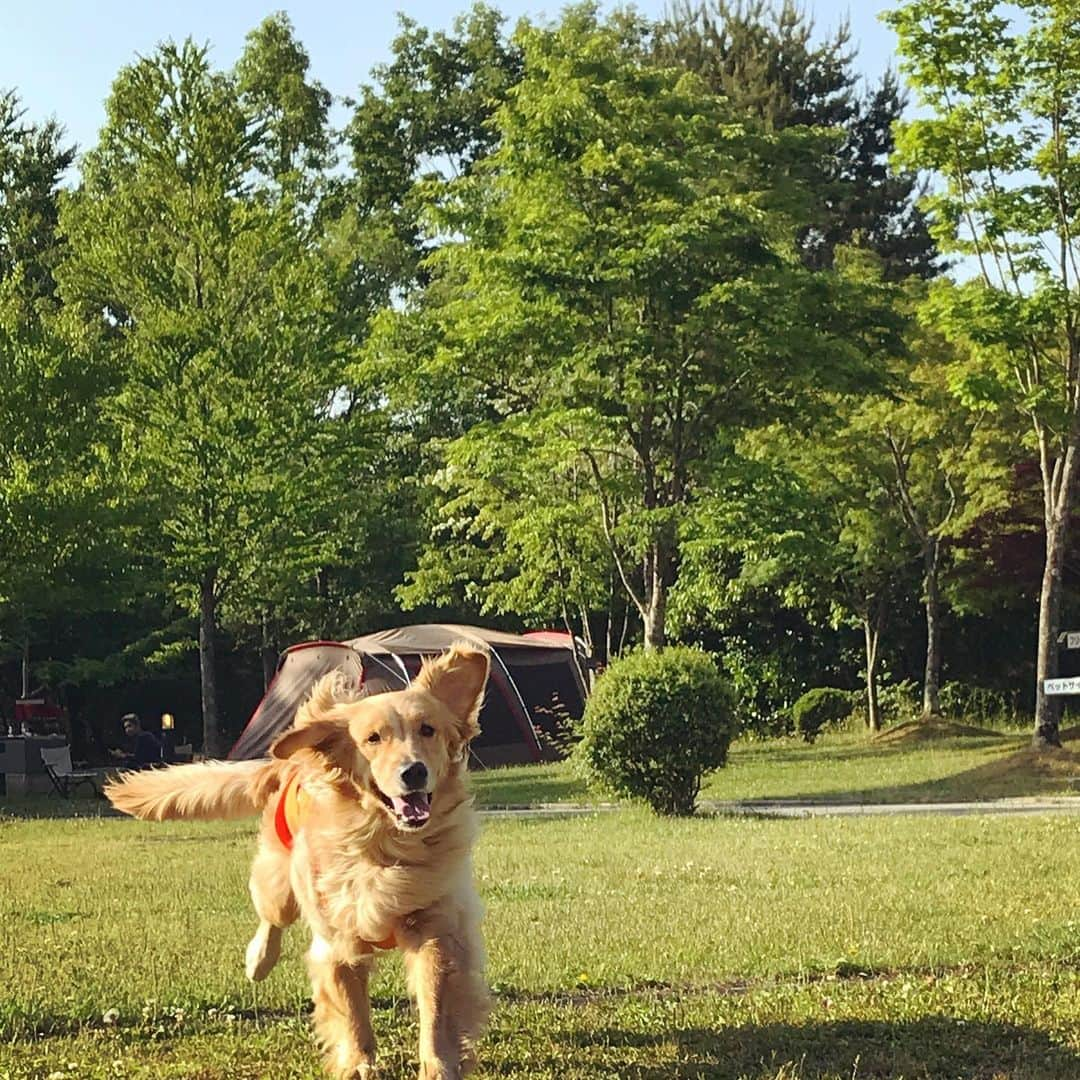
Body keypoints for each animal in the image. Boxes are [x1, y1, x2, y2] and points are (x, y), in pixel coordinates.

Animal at [103, 643, 492, 1075]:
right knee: (271, 919)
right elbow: (352, 1011)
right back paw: (258, 960)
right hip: (279, 883)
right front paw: (358, 1063)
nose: (414, 772)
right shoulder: (336, 942)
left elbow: (436, 1008)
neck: (381, 845)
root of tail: (289, 761)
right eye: (373, 738)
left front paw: (439, 1066)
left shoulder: (436, 930)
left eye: (428, 730)